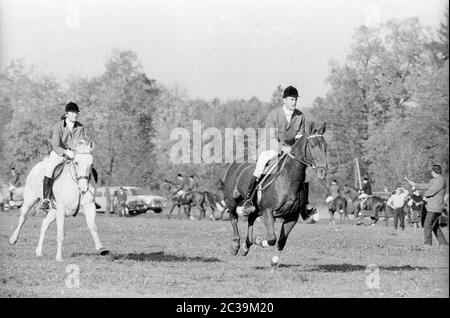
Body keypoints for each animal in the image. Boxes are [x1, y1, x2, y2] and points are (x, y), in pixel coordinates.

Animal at [222, 121, 326, 266]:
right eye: (313, 146)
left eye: (325, 146)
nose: (323, 171)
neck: (288, 179)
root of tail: (235, 164)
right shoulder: (268, 211)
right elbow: (272, 239)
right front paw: (259, 240)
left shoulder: (292, 216)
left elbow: (281, 241)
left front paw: (274, 261)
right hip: (232, 201)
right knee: (233, 218)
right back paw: (236, 245)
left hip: (256, 209)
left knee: (250, 219)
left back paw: (246, 246)